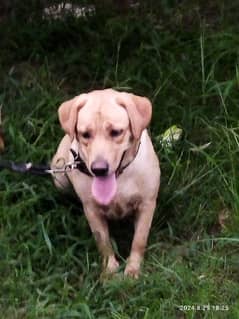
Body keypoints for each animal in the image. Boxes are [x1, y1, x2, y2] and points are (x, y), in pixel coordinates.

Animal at [52, 89, 161, 278]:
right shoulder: (92, 209)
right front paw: (109, 272)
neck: (119, 179)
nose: (99, 169)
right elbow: (103, 243)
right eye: (85, 134)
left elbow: (139, 240)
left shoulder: (147, 204)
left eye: (116, 132)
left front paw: (133, 270)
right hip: (59, 176)